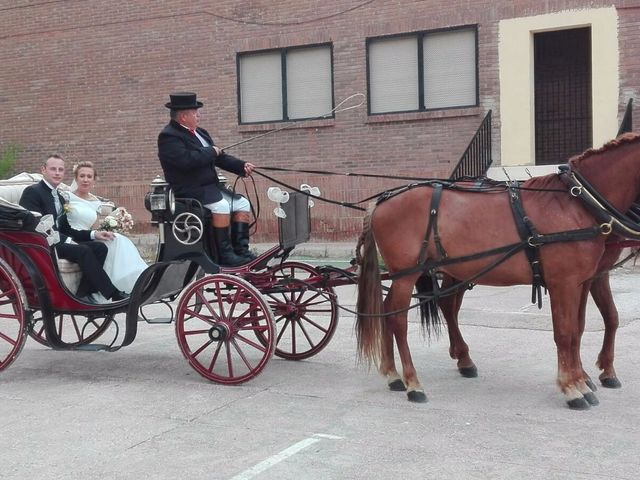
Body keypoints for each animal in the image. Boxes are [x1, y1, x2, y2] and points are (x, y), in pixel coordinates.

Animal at [356, 132, 640, 408]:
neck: (576, 202)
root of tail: (381, 202)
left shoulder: (582, 282)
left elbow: (578, 330)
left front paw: (582, 380)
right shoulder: (564, 283)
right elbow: (565, 333)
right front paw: (572, 388)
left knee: (391, 311)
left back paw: (394, 374)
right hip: (406, 275)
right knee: (398, 319)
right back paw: (413, 383)